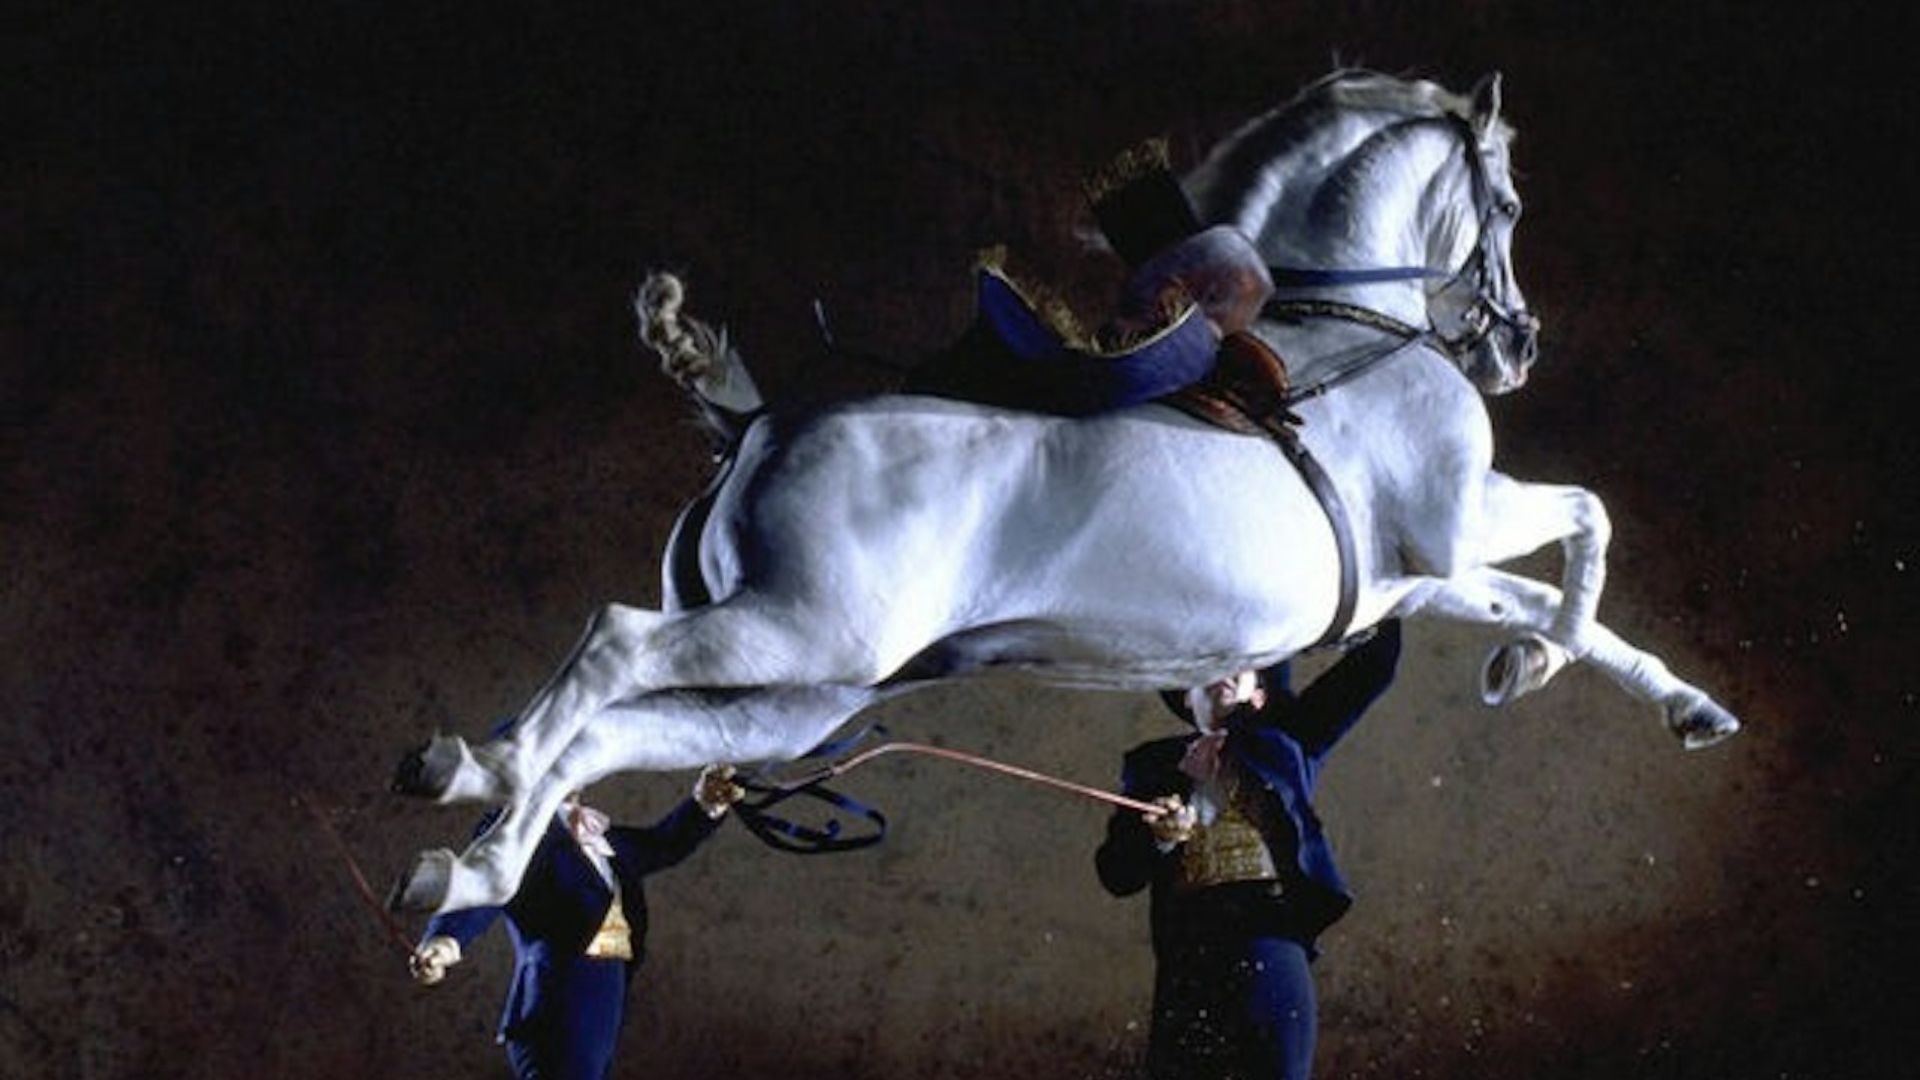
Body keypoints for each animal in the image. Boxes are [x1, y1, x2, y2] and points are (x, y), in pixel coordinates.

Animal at [388, 70, 1740, 916]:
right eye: (1506, 202)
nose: (1517, 346)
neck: (1341, 330)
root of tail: (755, 422)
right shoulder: (1463, 521)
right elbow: (1588, 522)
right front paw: (1535, 665)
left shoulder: (1412, 578)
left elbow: (1548, 597)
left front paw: (1665, 699)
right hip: (795, 633)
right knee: (610, 650)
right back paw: (476, 773)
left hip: (798, 700)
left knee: (613, 734)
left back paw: (467, 859)